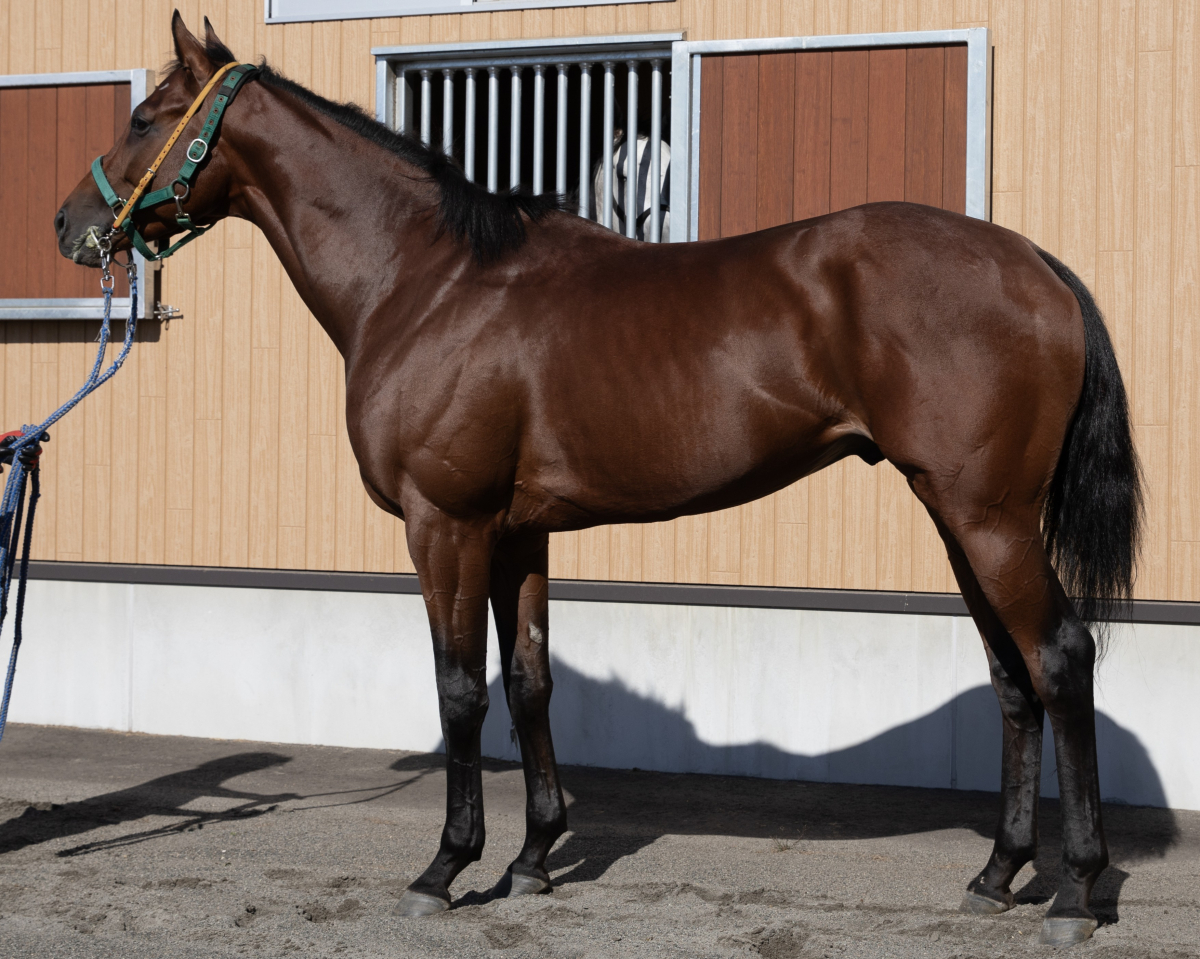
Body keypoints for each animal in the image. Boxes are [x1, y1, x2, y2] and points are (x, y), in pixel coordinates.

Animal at [55, 14, 1141, 948]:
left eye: (146, 118)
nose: (72, 226)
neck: (429, 283)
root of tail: (1036, 264)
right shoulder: (516, 531)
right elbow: (530, 680)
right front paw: (532, 858)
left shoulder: (444, 523)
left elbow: (459, 689)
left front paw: (446, 866)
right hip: (959, 515)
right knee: (1010, 675)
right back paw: (996, 875)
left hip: (987, 517)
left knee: (1059, 657)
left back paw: (1076, 888)